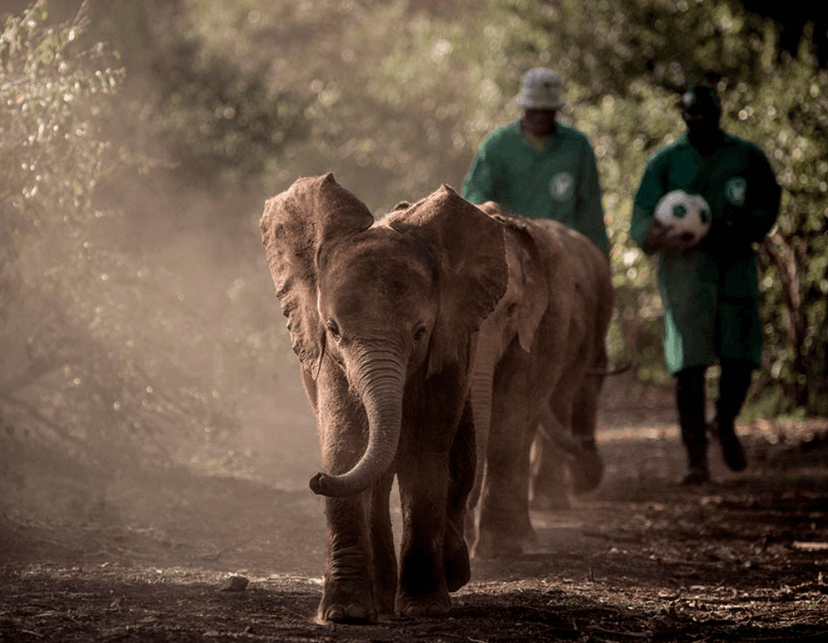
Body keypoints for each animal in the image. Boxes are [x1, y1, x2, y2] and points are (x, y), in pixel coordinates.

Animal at [259, 174, 510, 623]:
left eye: (420, 333)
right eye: (333, 329)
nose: (315, 480)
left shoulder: (449, 350)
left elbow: (427, 456)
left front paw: (425, 608)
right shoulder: (327, 359)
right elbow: (345, 444)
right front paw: (344, 614)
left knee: (460, 459)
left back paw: (447, 576)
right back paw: (379, 598)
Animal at [464, 201, 615, 559]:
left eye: (511, 309)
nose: (585, 446)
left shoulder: (535, 324)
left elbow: (510, 415)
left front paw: (501, 549)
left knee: (557, 398)